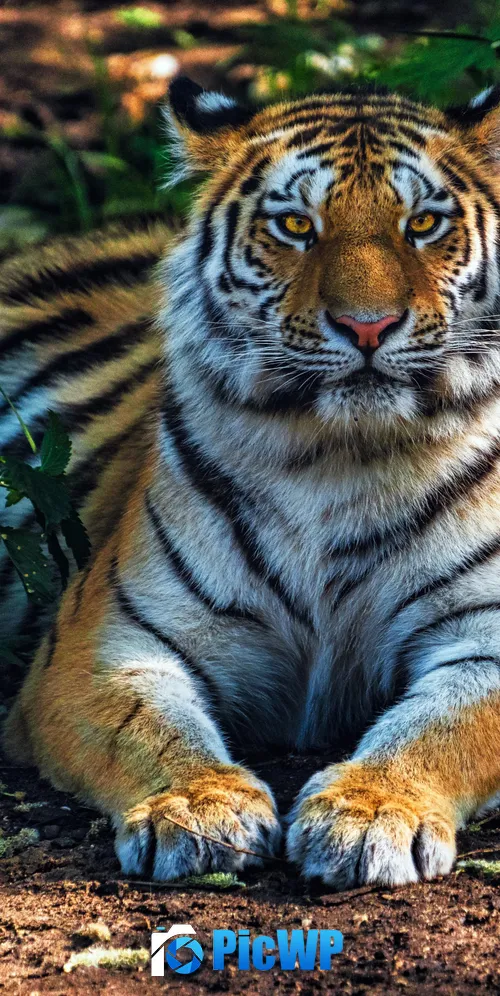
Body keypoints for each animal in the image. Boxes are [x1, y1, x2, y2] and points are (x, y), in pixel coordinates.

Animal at [2, 76, 500, 890]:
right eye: (296, 225)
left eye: (423, 224)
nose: (369, 326)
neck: (340, 459)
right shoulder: (104, 642)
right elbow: (148, 729)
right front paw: (198, 808)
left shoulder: (484, 637)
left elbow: (439, 730)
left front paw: (371, 813)